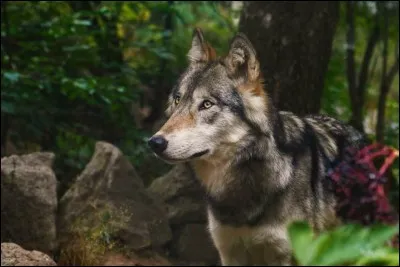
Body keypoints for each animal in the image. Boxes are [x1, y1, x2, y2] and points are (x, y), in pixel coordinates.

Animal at [148, 28, 368, 266]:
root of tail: (360, 135)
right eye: (178, 100)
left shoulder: (289, 255)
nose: (155, 142)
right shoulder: (230, 252)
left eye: (207, 104)